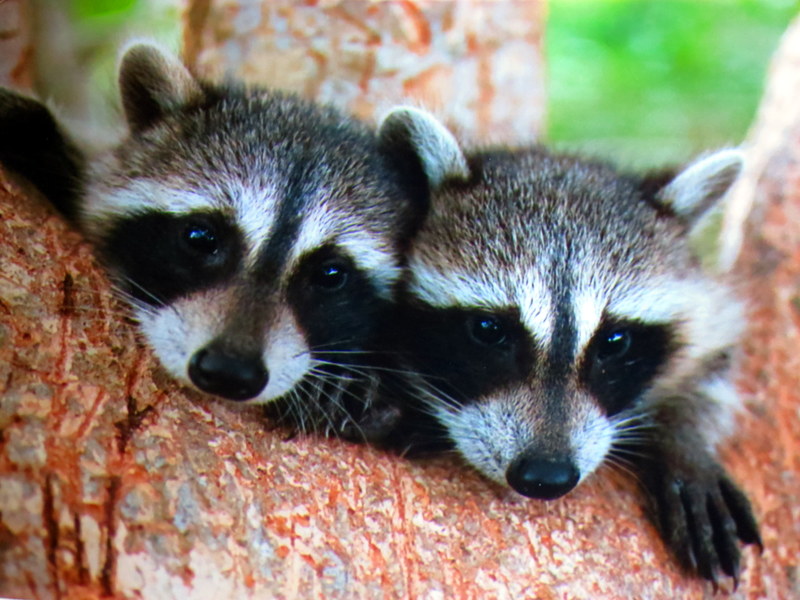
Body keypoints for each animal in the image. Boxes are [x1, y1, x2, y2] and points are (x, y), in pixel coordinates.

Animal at [377, 107, 761, 584]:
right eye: (488, 330)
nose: (546, 476)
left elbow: (714, 357)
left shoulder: (704, 306)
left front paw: (684, 438)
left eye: (614, 342)